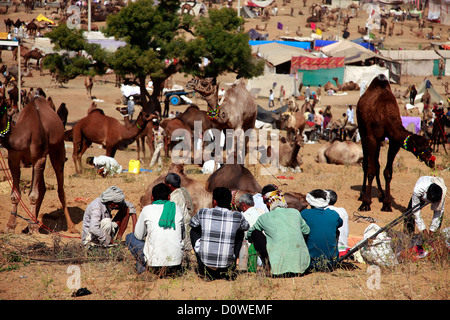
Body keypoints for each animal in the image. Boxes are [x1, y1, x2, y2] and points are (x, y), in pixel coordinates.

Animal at [0, 94, 77, 234]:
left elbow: (33, 195)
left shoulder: (39, 158)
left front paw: (34, 228)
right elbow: (15, 195)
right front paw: (10, 226)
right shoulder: (13, 159)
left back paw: (72, 227)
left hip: (58, 150)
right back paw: (29, 225)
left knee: (60, 189)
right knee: (43, 188)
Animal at [356, 74, 434, 211]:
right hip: (362, 130)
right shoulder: (372, 138)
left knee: (376, 164)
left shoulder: (393, 141)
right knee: (366, 163)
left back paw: (381, 194)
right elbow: (371, 169)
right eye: (420, 147)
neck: (385, 113)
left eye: (429, 146)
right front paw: (366, 203)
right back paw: (362, 194)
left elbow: (387, 172)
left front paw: (387, 203)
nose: (431, 161)